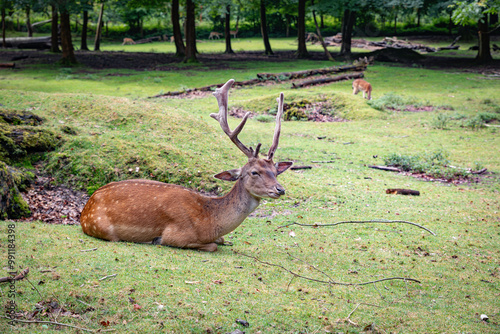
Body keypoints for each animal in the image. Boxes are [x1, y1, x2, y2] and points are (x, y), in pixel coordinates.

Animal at [80, 79, 292, 252]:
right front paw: (155, 240)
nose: (280, 189)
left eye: (276, 172)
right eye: (254, 172)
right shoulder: (177, 235)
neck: (209, 221)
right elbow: (213, 245)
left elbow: (222, 240)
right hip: (101, 227)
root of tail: (86, 208)